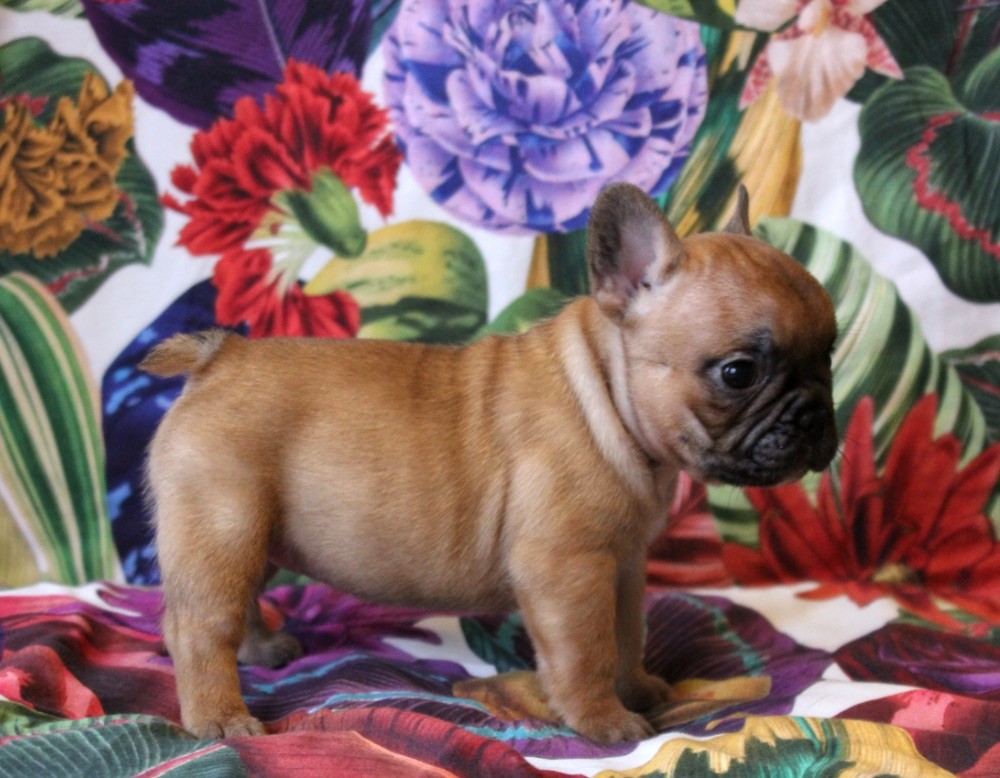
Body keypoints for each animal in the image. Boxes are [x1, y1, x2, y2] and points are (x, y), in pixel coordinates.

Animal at [142, 183, 838, 743]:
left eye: (831, 353)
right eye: (738, 373)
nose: (815, 416)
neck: (605, 397)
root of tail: (220, 357)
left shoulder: (621, 567)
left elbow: (626, 635)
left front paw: (639, 689)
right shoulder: (567, 572)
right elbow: (585, 653)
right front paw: (605, 721)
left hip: (250, 536)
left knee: (237, 605)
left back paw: (264, 649)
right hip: (221, 527)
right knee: (197, 627)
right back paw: (219, 718)